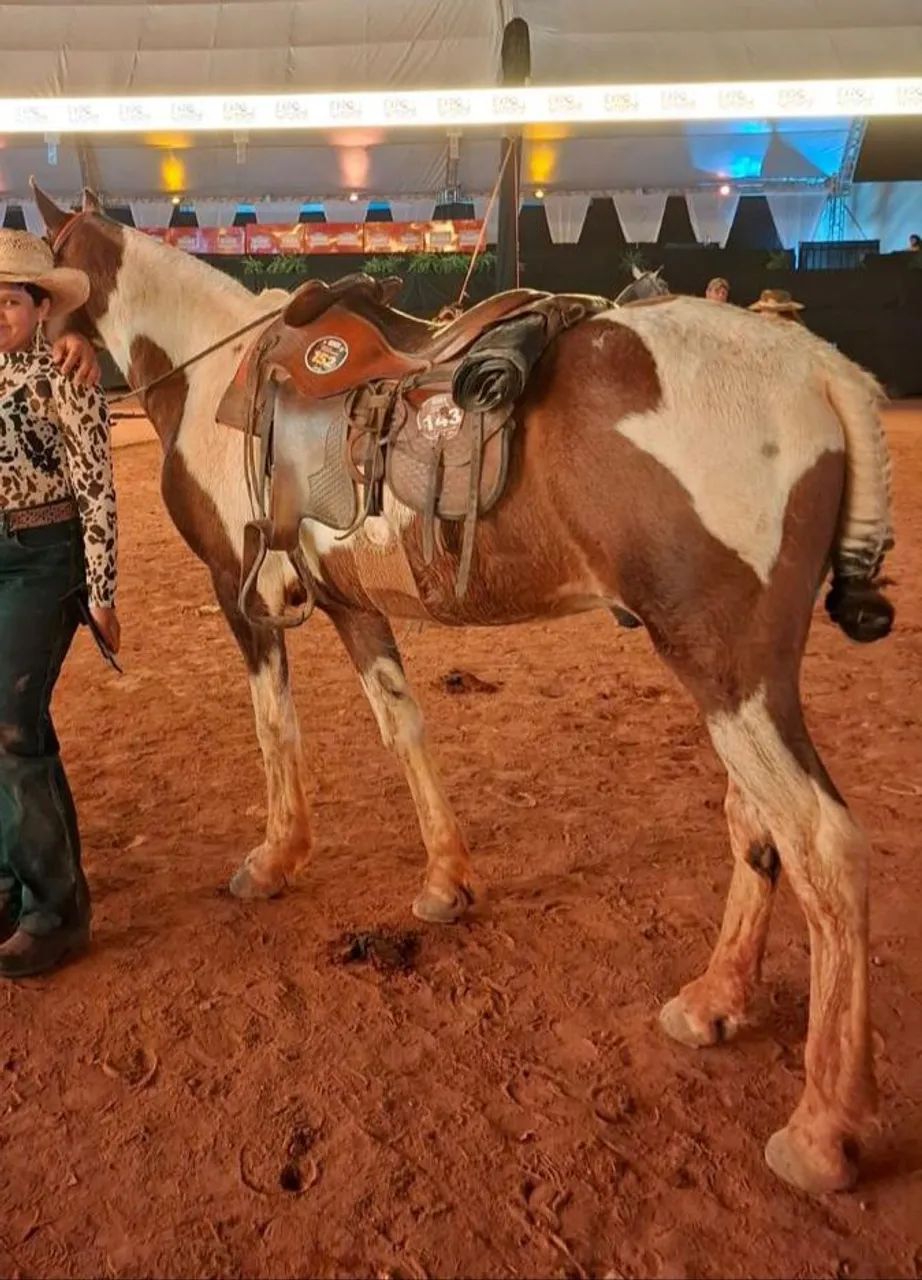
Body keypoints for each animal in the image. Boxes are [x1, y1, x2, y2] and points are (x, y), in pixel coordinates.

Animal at [34, 185, 894, 1194]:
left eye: (37, 275)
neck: (212, 375)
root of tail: (820, 368)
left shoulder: (241, 596)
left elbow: (273, 727)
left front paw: (276, 858)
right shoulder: (348, 602)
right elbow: (401, 724)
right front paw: (447, 880)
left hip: (725, 667)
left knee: (820, 844)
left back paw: (823, 1127)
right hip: (741, 676)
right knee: (755, 823)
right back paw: (715, 999)